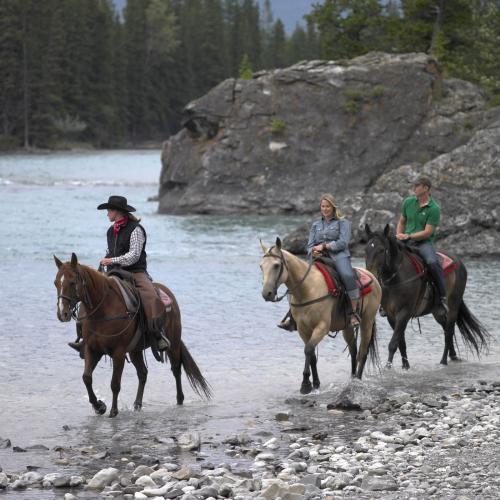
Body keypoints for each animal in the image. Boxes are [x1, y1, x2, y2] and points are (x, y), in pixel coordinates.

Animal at [52, 252, 211, 416]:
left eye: (72, 282)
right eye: (56, 283)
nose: (62, 313)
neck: (103, 309)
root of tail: (168, 295)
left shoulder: (118, 352)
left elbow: (115, 383)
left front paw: (113, 411)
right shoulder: (92, 349)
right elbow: (86, 378)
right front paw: (99, 406)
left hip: (173, 343)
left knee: (176, 369)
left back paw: (179, 400)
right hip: (135, 350)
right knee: (143, 373)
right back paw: (137, 405)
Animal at [260, 236, 380, 392]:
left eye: (276, 265)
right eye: (261, 266)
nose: (266, 294)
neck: (307, 289)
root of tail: (373, 277)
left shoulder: (321, 327)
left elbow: (308, 349)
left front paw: (305, 384)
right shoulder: (303, 329)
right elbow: (311, 355)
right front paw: (315, 384)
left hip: (367, 322)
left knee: (363, 352)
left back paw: (358, 379)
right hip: (347, 326)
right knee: (353, 350)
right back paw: (352, 378)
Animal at [364, 225, 488, 370]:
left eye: (381, 250)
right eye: (366, 249)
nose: (370, 275)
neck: (397, 277)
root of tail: (460, 263)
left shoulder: (404, 313)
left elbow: (394, 343)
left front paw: (388, 367)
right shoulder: (390, 315)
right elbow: (401, 343)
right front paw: (405, 366)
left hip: (453, 306)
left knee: (448, 333)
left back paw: (443, 361)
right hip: (438, 312)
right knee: (446, 329)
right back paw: (453, 356)